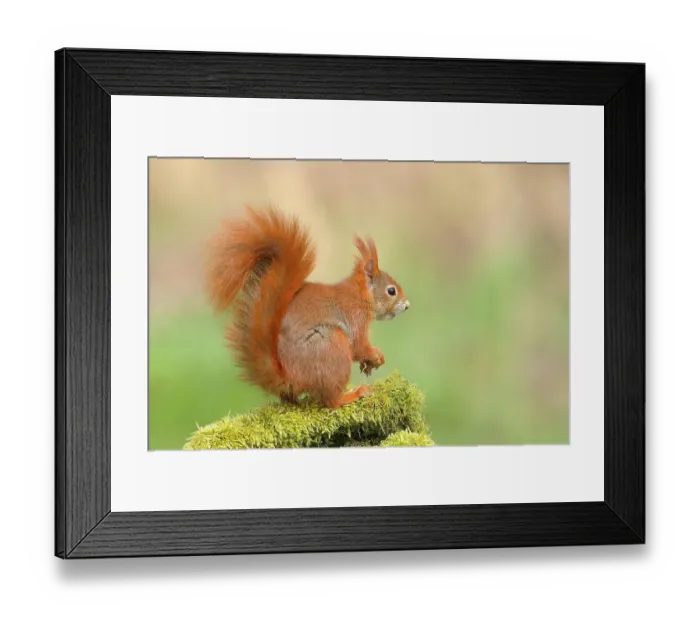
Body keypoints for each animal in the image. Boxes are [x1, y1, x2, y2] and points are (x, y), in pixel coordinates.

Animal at [206, 206, 410, 409]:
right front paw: (376, 355)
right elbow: (359, 346)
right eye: (391, 291)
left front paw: (368, 364)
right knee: (330, 401)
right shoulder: (356, 318)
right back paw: (352, 395)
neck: (360, 295)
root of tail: (291, 378)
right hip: (333, 345)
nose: (407, 305)